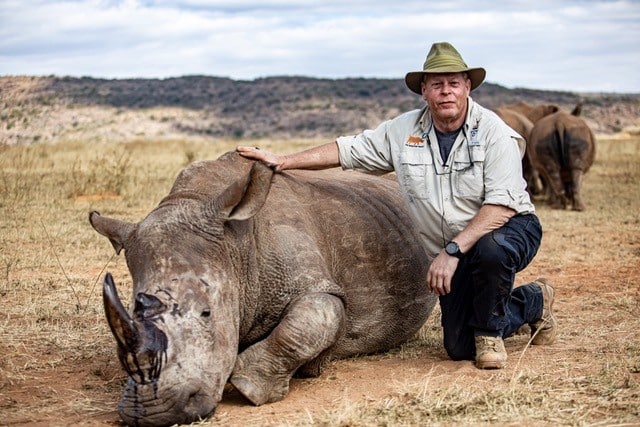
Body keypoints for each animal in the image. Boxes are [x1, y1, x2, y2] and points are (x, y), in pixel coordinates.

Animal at [89, 151, 437, 426]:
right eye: (131, 314)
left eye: (207, 313)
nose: (153, 413)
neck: (235, 246)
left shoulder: (318, 284)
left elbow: (311, 319)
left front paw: (247, 386)